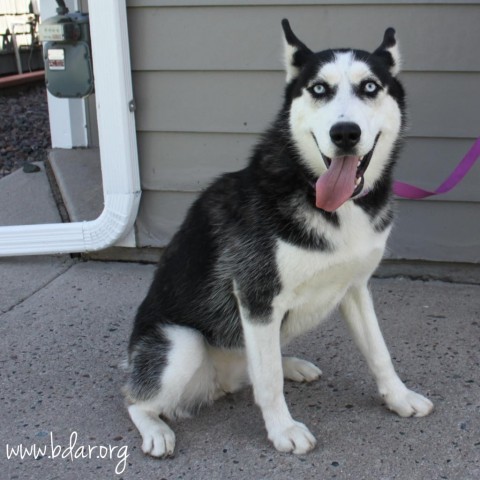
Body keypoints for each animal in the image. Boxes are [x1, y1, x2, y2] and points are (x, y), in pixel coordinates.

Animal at [124, 19, 436, 458]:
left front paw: (399, 397)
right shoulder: (256, 295)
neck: (329, 201)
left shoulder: (355, 287)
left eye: (370, 86)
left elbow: (379, 351)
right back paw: (154, 428)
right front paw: (283, 429)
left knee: (257, 365)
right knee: (136, 398)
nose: (344, 133)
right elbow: (268, 381)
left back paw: (291, 364)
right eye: (319, 89)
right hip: (181, 345)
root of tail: (219, 383)